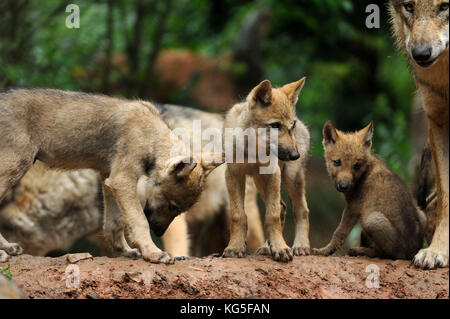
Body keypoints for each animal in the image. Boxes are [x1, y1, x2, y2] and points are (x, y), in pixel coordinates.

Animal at [0, 89, 221, 264]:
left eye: (178, 209)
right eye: (172, 206)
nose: (158, 232)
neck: (149, 135)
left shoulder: (109, 180)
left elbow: (115, 223)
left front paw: (125, 251)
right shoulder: (122, 181)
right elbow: (138, 221)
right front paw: (153, 253)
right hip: (16, 169)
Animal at [223, 77, 312, 262]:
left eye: (290, 126)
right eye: (275, 125)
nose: (295, 155)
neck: (252, 151)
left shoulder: (273, 174)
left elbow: (272, 216)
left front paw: (280, 248)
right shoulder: (233, 175)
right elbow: (238, 216)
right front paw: (235, 247)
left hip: (290, 178)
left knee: (301, 209)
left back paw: (300, 246)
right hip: (260, 183)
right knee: (283, 207)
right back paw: (266, 247)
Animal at [312, 122, 426, 260]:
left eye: (356, 165)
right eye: (337, 162)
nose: (344, 186)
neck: (364, 172)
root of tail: (413, 251)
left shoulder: (353, 208)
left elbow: (339, 232)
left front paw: (324, 251)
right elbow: (360, 236)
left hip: (371, 220)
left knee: (386, 254)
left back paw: (357, 251)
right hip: (421, 214)